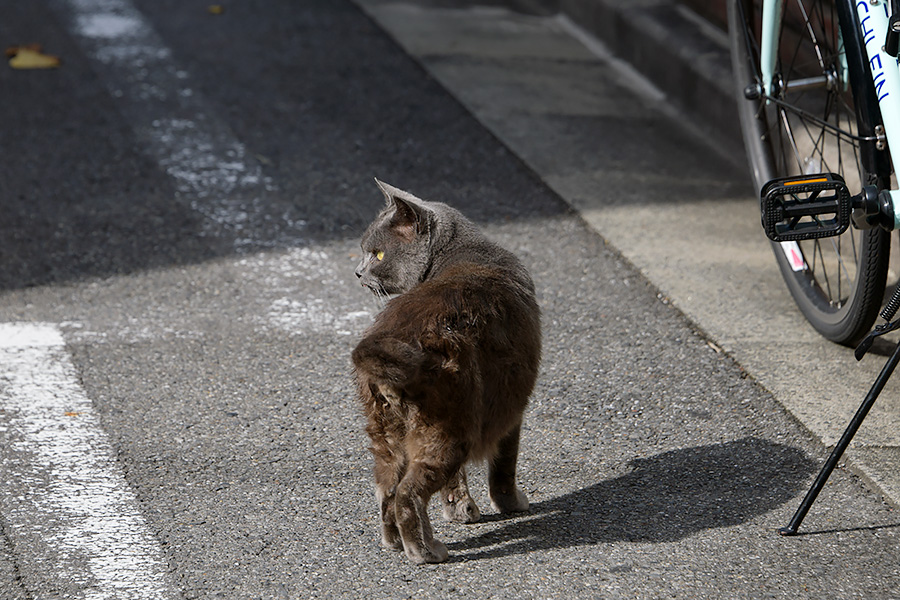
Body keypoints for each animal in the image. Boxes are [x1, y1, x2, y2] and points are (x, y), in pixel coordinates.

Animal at [350, 178, 540, 564]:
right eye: (366, 252)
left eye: (378, 254)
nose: (358, 272)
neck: (462, 251)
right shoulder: (511, 406)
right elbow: (504, 464)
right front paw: (511, 504)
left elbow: (457, 481)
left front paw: (458, 508)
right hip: (449, 429)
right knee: (408, 493)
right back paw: (424, 551)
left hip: (387, 433)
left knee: (386, 489)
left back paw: (395, 542)